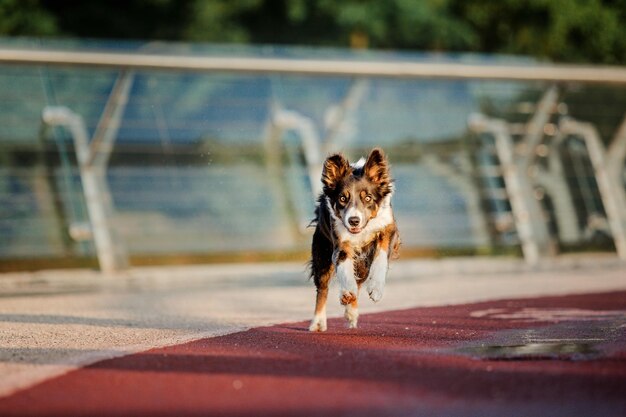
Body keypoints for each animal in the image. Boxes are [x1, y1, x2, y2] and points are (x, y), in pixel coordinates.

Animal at [308, 147, 400, 332]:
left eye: (368, 198)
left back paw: (351, 311)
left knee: (360, 279)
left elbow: (381, 257)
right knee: (322, 288)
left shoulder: (388, 229)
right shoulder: (340, 242)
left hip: (363, 262)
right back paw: (318, 322)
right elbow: (344, 266)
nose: (354, 220)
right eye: (343, 198)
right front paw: (347, 292)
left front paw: (376, 288)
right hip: (322, 252)